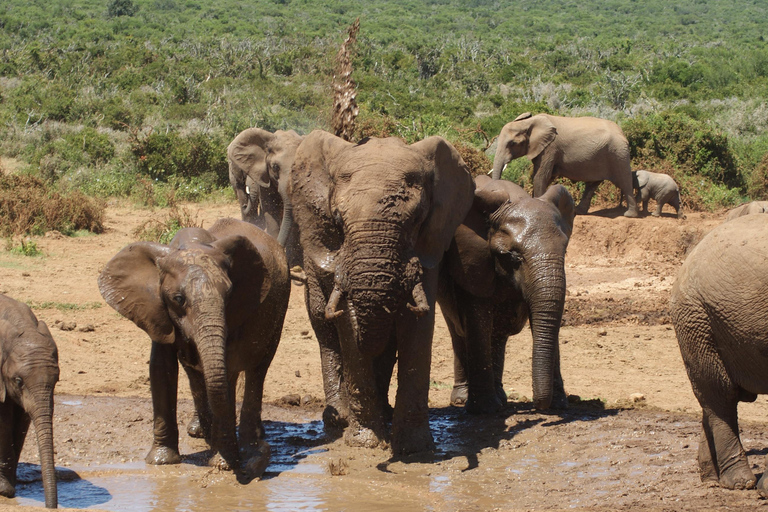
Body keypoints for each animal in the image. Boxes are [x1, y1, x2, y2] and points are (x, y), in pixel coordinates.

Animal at [0, 294, 59, 508]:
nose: (51, 508)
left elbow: (22, 421)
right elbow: (3, 422)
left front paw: (9, 487)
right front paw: (4, 490)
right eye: (18, 381)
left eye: (57, 380)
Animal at [98, 218, 290, 480]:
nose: (259, 460)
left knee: (258, 369)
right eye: (178, 299)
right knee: (196, 374)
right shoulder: (156, 309)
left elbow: (226, 371)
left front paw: (222, 462)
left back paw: (249, 436)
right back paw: (202, 432)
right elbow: (161, 368)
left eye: (229, 294)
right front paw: (161, 461)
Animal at [287, 131, 474, 455]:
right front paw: (364, 443)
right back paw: (338, 419)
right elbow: (348, 328)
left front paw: (414, 449)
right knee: (325, 330)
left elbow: (418, 326)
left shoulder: (429, 243)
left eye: (416, 220)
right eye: (337, 221)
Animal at [438, 175, 574, 414]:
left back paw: (501, 396)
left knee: (498, 333)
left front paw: (559, 405)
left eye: (565, 250)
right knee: (458, 329)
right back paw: (463, 399)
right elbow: (477, 317)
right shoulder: (471, 259)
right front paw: (485, 410)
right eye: (511, 255)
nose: (538, 406)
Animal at [491, 112, 639, 218]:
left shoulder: (550, 148)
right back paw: (578, 212)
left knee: (624, 181)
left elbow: (541, 176)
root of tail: (622, 132)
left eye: (512, 143)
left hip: (618, 153)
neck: (529, 123)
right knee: (592, 184)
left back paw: (630, 215)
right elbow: (545, 176)